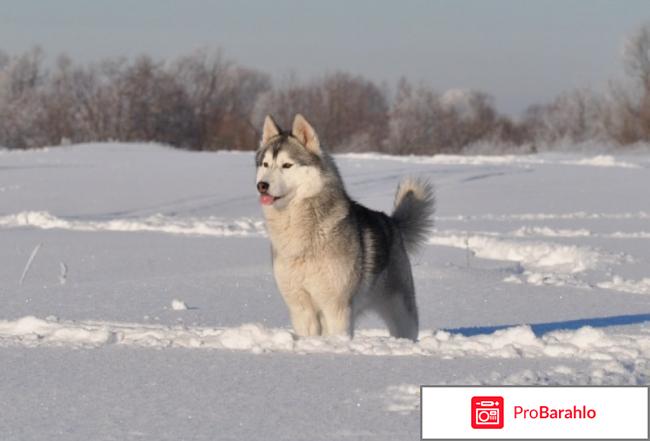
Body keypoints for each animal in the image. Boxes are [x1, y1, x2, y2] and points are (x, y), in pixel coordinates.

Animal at [256, 114, 432, 340]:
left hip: (401, 312)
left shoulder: (336, 307)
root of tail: (392, 222)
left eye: (287, 165)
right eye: (265, 164)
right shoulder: (301, 308)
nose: (262, 185)